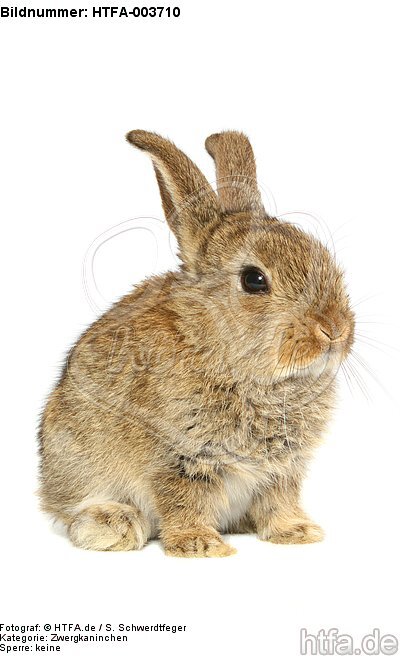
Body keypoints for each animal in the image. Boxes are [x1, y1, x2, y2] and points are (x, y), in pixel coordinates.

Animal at [39, 130, 355, 557]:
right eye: (254, 280)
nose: (334, 328)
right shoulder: (179, 457)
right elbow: (184, 500)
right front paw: (201, 545)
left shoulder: (283, 468)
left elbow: (279, 501)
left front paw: (298, 533)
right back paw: (113, 525)